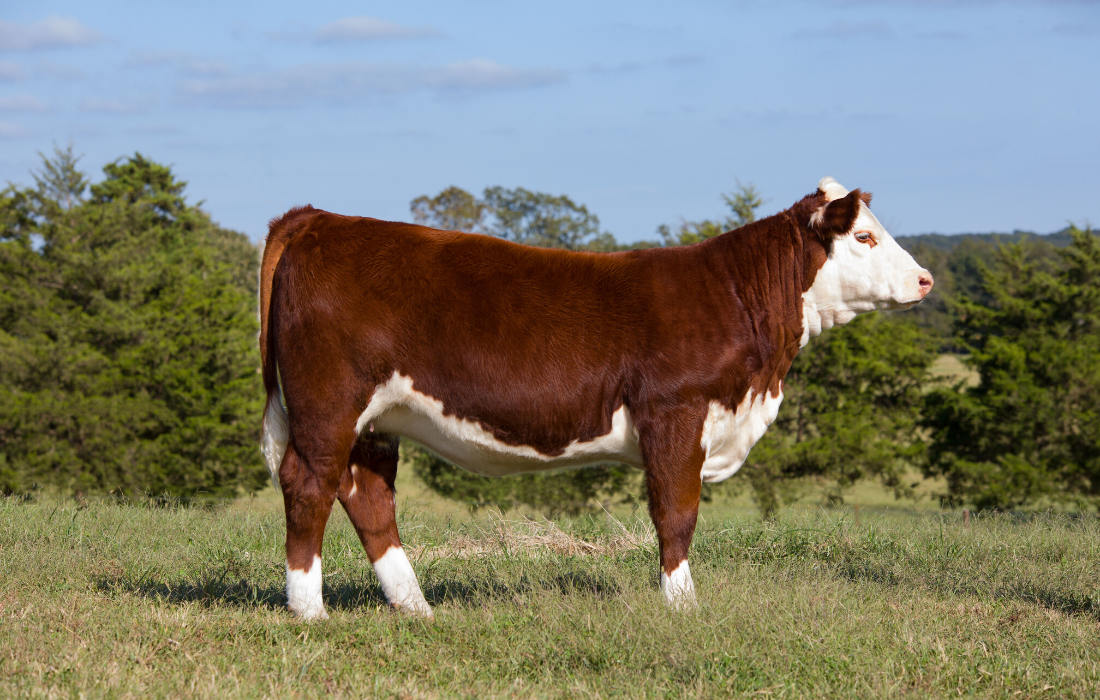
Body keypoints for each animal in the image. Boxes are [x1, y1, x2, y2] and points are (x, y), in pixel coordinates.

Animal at [258, 177, 932, 620]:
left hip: (377, 420)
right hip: (328, 403)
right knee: (309, 484)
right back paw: (310, 611)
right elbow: (676, 514)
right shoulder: (675, 412)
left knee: (367, 496)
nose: (925, 279)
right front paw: (682, 606)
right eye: (865, 238)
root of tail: (318, 219)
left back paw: (416, 608)